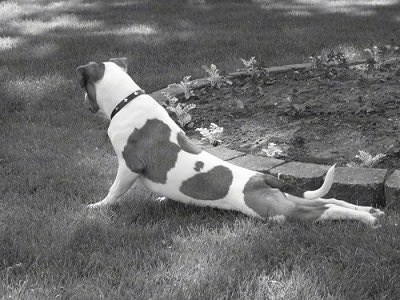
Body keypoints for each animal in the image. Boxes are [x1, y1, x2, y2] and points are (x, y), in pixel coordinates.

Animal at [76, 58, 384, 227]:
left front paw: (98, 207)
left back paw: (368, 220)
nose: (83, 103)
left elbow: (114, 191)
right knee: (331, 199)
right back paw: (370, 210)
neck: (127, 100)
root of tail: (261, 178)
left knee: (325, 210)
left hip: (275, 211)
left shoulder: (128, 166)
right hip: (287, 199)